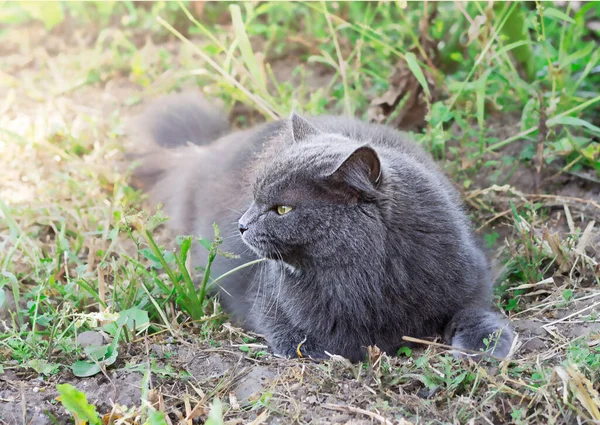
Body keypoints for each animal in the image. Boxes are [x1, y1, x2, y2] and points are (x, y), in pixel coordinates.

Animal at [130, 93, 516, 362]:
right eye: (254, 197)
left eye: (282, 209)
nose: (241, 225)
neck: (366, 279)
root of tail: (201, 151)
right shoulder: (273, 308)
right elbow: (310, 342)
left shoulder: (470, 275)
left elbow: (472, 309)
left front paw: (489, 344)